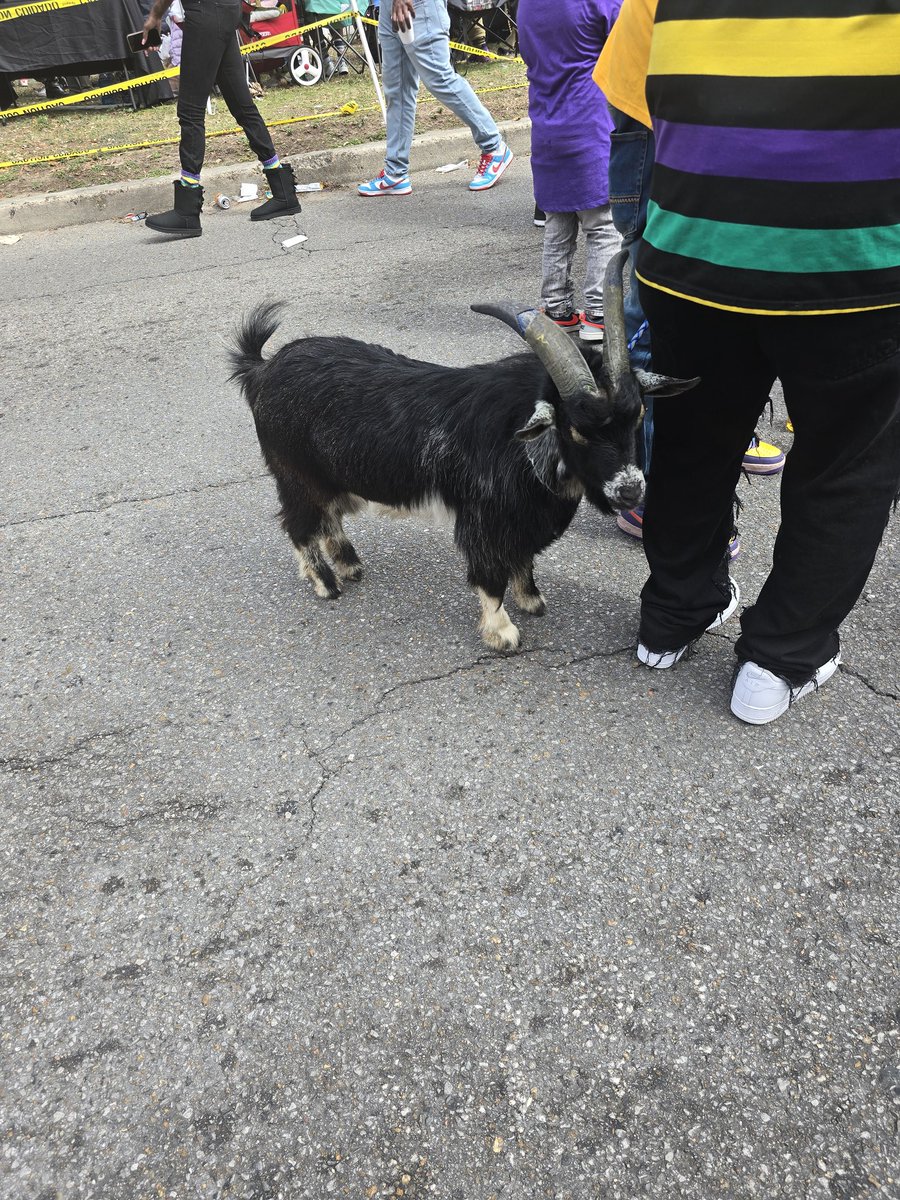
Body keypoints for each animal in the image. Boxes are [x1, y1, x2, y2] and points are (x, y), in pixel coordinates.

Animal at [229, 251, 696, 651]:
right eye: (577, 430)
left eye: (639, 415)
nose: (630, 492)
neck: (521, 445)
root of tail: (262, 370)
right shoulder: (486, 521)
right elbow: (490, 578)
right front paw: (503, 632)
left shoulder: (522, 521)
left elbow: (523, 561)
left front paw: (532, 600)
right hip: (295, 474)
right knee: (300, 525)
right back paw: (327, 584)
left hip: (330, 476)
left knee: (329, 519)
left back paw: (349, 565)